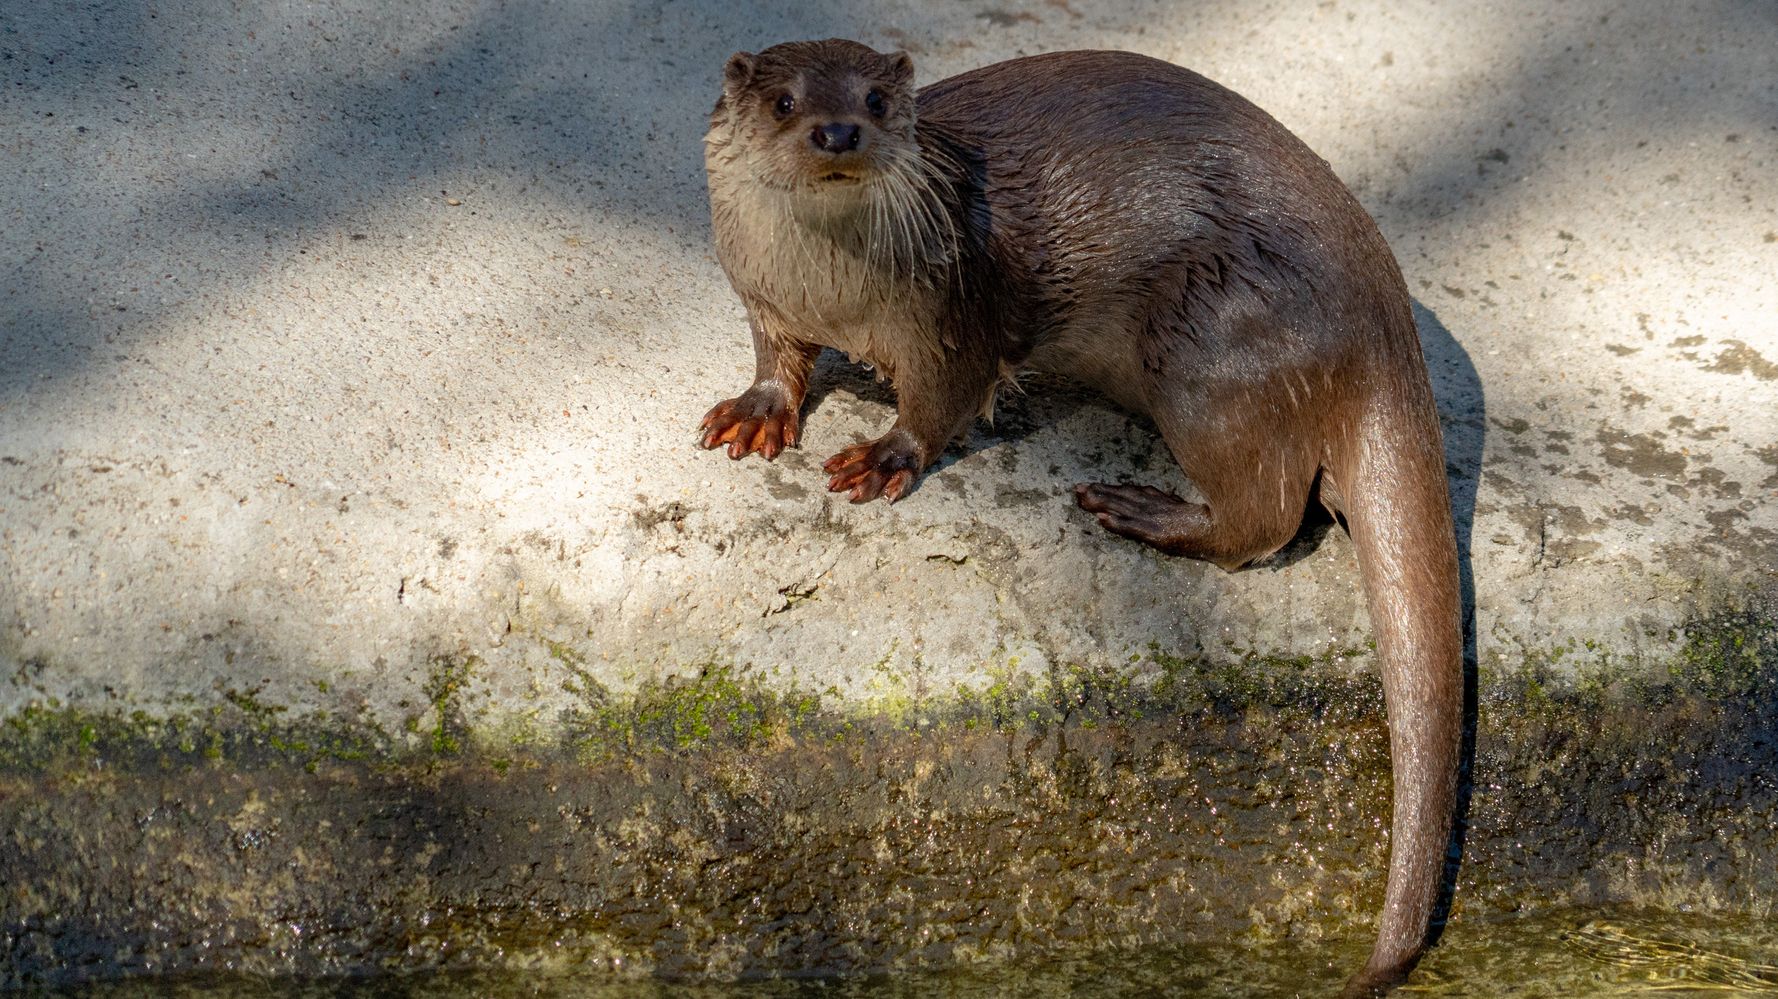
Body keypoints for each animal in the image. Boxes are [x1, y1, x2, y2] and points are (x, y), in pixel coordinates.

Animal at [693, 36, 1457, 988]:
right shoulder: (763, 297)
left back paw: (1138, 510)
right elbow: (777, 359)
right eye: (786, 102)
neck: (831, 292)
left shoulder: (947, 315)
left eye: (873, 99)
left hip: (1208, 347)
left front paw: (884, 455)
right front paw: (757, 409)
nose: (838, 132)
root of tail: (1381, 324)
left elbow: (940, 402)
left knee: (1269, 517)